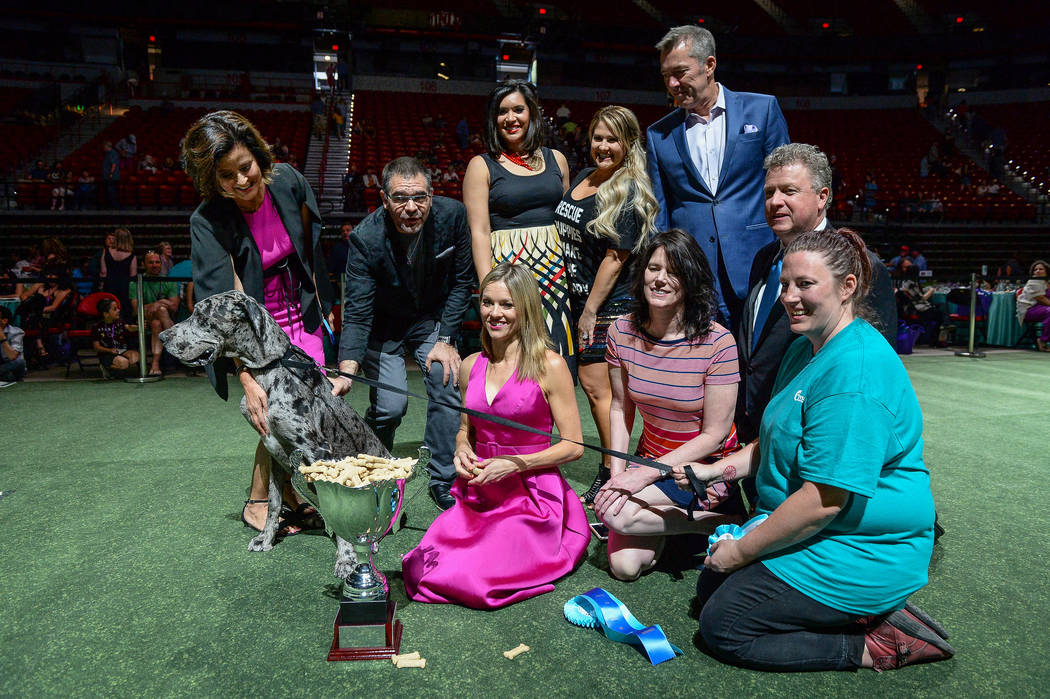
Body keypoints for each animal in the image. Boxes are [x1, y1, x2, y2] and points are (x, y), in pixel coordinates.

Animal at [155, 287, 386, 575]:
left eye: (200, 315)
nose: (162, 337)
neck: (270, 370)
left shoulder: (318, 452)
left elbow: (334, 502)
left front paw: (346, 559)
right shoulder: (276, 453)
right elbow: (274, 503)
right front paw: (266, 538)